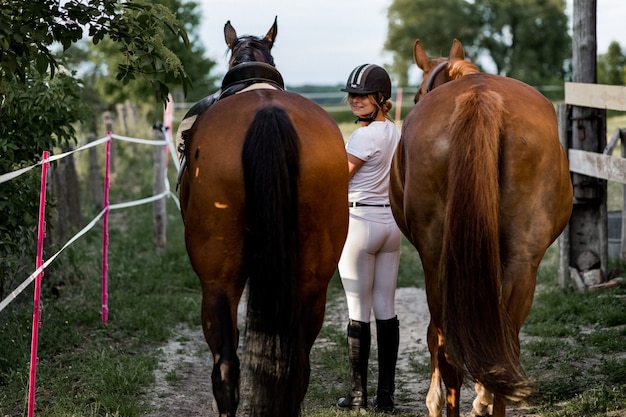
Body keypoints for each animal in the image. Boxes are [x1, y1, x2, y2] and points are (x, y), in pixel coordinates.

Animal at [388, 38, 572, 412]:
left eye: (415, 96)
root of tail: (480, 96)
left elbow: (433, 338)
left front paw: (434, 400)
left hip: (436, 262)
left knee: (445, 347)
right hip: (522, 262)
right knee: (507, 344)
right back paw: (488, 399)